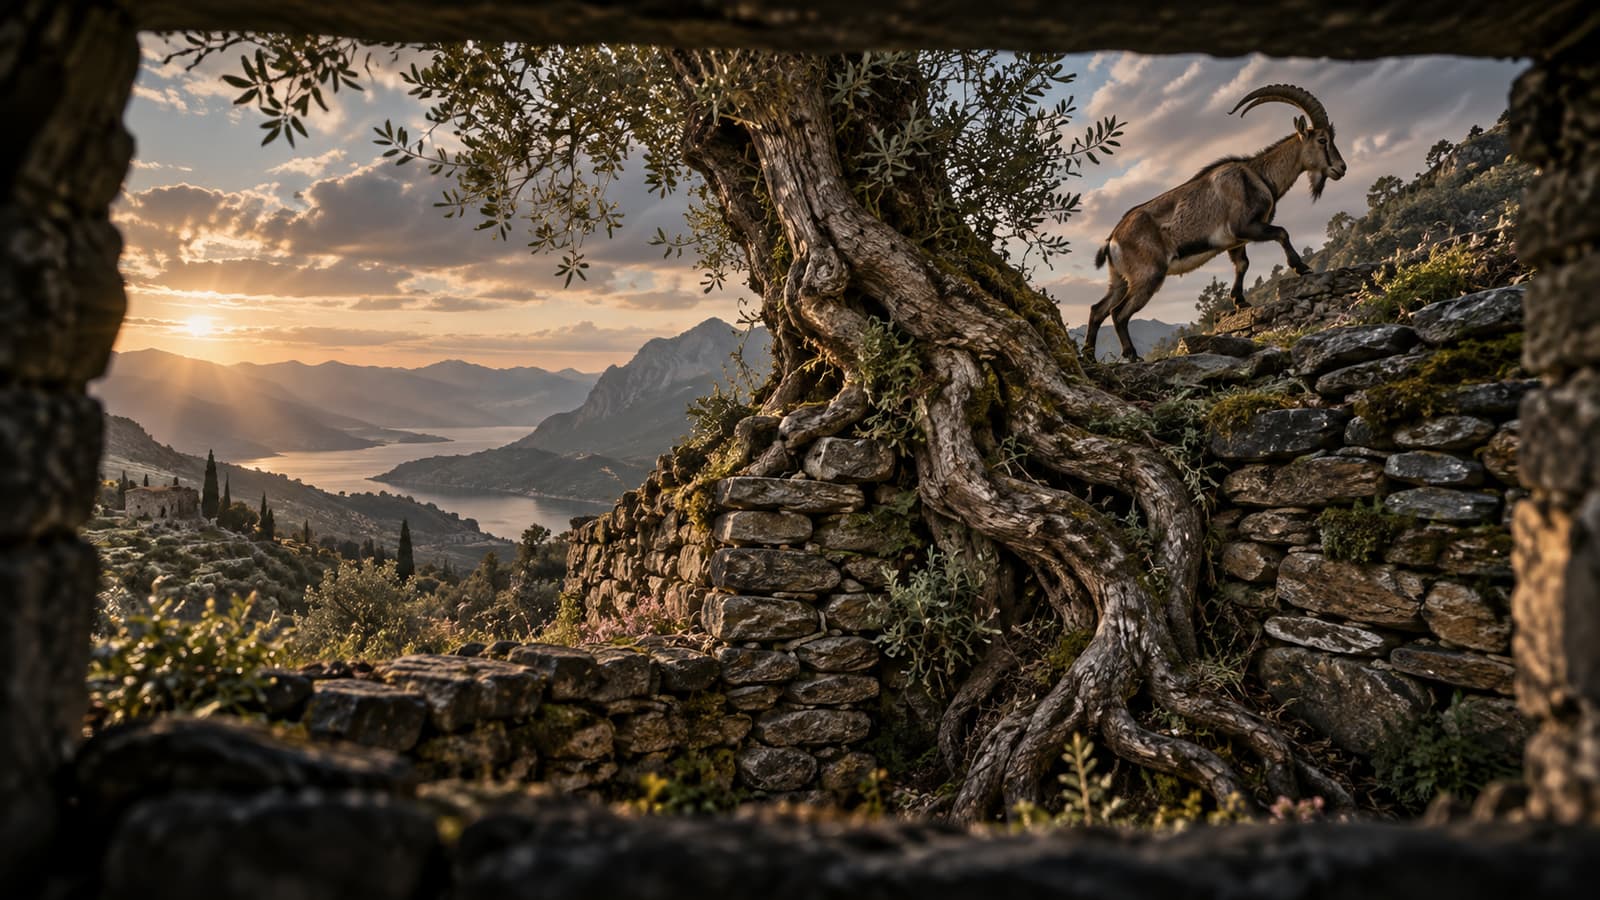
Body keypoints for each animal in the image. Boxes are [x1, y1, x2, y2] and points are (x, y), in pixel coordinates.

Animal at [1084, 84, 1347, 360]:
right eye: (1322, 140)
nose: (1341, 168)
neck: (1259, 176)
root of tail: (1112, 239)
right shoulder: (1247, 226)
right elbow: (1282, 233)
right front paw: (1301, 267)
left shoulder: (1236, 240)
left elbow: (1242, 263)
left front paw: (1240, 300)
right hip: (1147, 275)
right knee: (1118, 313)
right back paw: (1131, 354)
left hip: (1119, 279)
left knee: (1098, 309)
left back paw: (1088, 355)